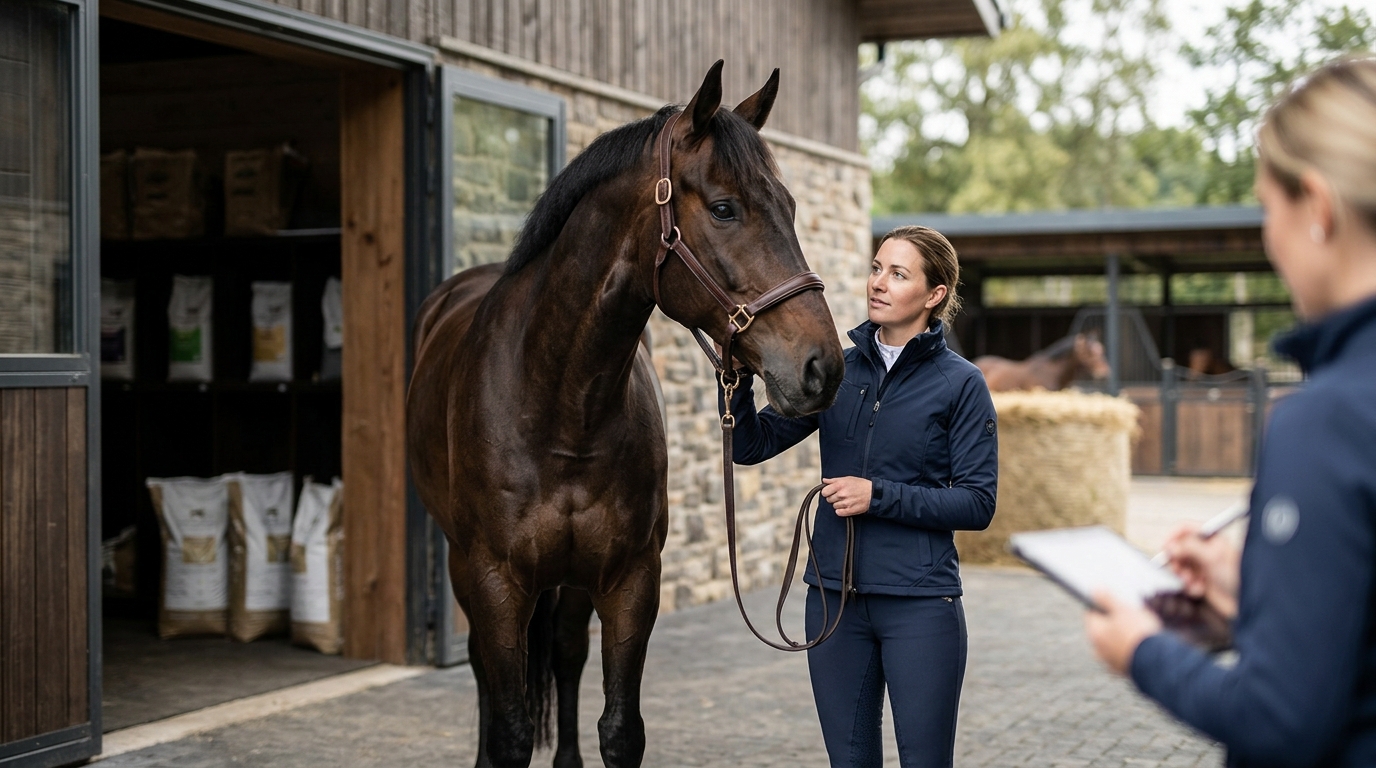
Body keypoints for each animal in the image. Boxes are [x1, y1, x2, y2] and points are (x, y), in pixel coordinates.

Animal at [407, 61, 845, 768]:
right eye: (724, 208)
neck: (561, 406)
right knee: (485, 671)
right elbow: (509, 729)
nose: (822, 367)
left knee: (564, 654)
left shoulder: (631, 579)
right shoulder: (494, 580)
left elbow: (619, 727)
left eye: (792, 207)